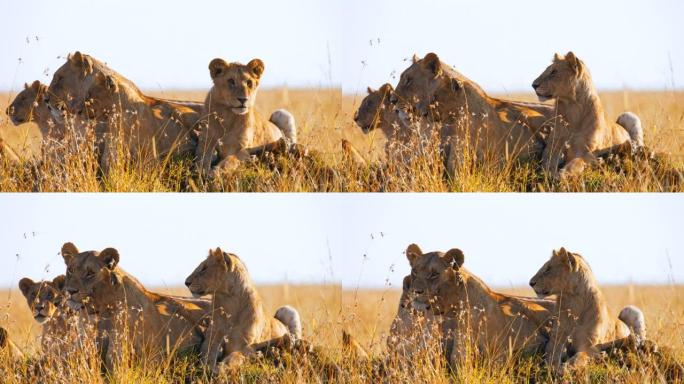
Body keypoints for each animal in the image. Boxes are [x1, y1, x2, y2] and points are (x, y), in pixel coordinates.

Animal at [60, 243, 212, 372]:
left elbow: (113, 360)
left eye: (90, 273)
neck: (101, 311)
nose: (70, 291)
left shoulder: (146, 355)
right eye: (70, 270)